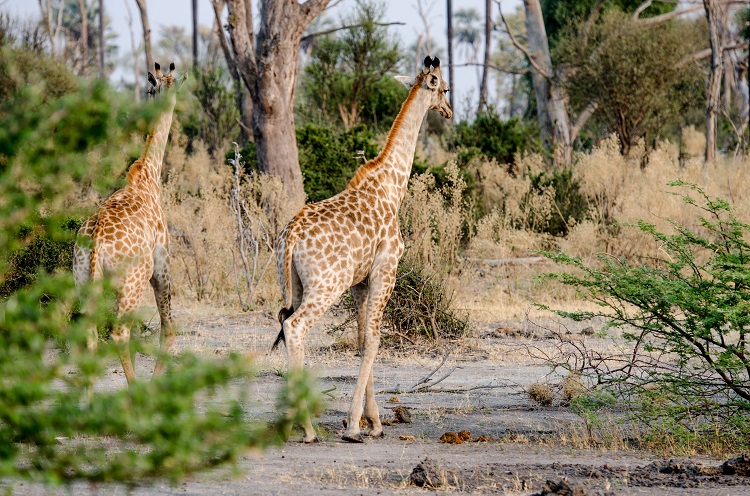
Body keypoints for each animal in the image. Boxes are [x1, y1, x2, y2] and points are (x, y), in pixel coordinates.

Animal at [72, 60, 186, 382]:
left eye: (150, 89)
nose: (157, 96)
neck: (148, 175)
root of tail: (96, 240)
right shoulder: (162, 263)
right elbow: (168, 330)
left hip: (82, 279)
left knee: (89, 334)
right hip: (133, 280)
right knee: (120, 332)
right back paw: (135, 390)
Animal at [274, 57, 452, 442]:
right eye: (444, 87)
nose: (448, 111)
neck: (392, 184)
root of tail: (291, 236)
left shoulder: (360, 282)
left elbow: (359, 339)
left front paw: (372, 422)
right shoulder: (387, 269)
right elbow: (373, 340)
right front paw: (357, 424)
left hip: (292, 284)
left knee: (285, 323)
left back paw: (293, 420)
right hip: (326, 285)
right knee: (295, 327)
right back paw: (306, 426)